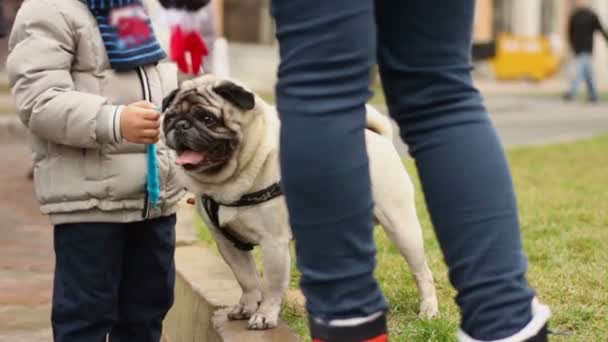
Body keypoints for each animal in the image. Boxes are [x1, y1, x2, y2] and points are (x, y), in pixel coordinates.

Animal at [162, 74, 436, 328]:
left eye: (207, 118)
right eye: (169, 118)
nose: (181, 125)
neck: (231, 179)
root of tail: (378, 138)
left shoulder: (274, 243)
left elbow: (272, 285)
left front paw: (265, 316)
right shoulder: (228, 244)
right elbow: (247, 279)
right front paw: (247, 306)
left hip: (401, 227)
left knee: (422, 272)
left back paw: (428, 310)